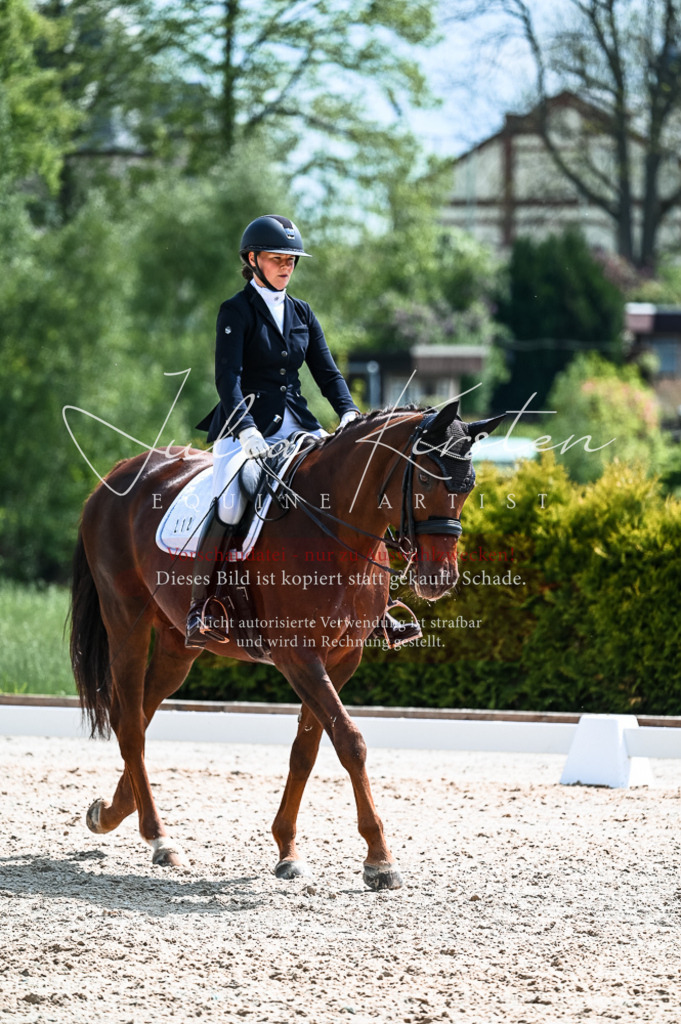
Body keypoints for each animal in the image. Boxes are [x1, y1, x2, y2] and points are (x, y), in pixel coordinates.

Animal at [70, 400, 503, 890]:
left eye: (468, 485)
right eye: (426, 479)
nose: (439, 579)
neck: (337, 531)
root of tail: (116, 476)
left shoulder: (342, 658)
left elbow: (306, 750)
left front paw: (288, 850)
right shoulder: (298, 655)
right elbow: (350, 742)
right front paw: (380, 859)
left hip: (178, 645)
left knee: (140, 717)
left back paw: (111, 812)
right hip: (126, 621)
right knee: (128, 724)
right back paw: (160, 838)